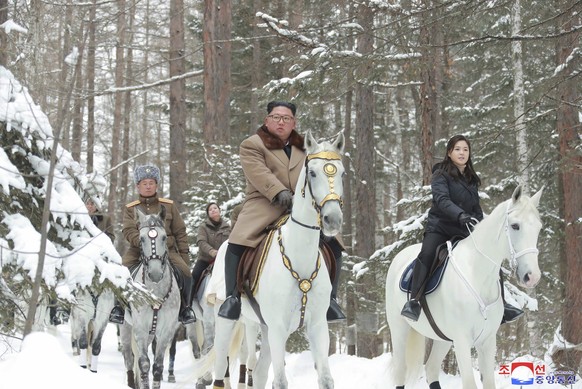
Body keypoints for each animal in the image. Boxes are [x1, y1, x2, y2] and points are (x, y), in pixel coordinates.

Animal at [212, 131, 344, 388]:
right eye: (313, 173)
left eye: (342, 173)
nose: (333, 219)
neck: (300, 260)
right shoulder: (278, 328)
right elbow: (280, 381)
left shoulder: (317, 327)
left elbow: (325, 378)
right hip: (228, 323)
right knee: (220, 369)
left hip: (264, 327)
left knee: (259, 373)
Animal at [386, 186, 544, 388]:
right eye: (515, 225)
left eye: (538, 228)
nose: (532, 277)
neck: (477, 275)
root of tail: (399, 257)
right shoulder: (462, 341)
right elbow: (470, 383)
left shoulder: (487, 341)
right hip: (399, 329)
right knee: (401, 370)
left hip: (443, 339)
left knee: (431, 368)